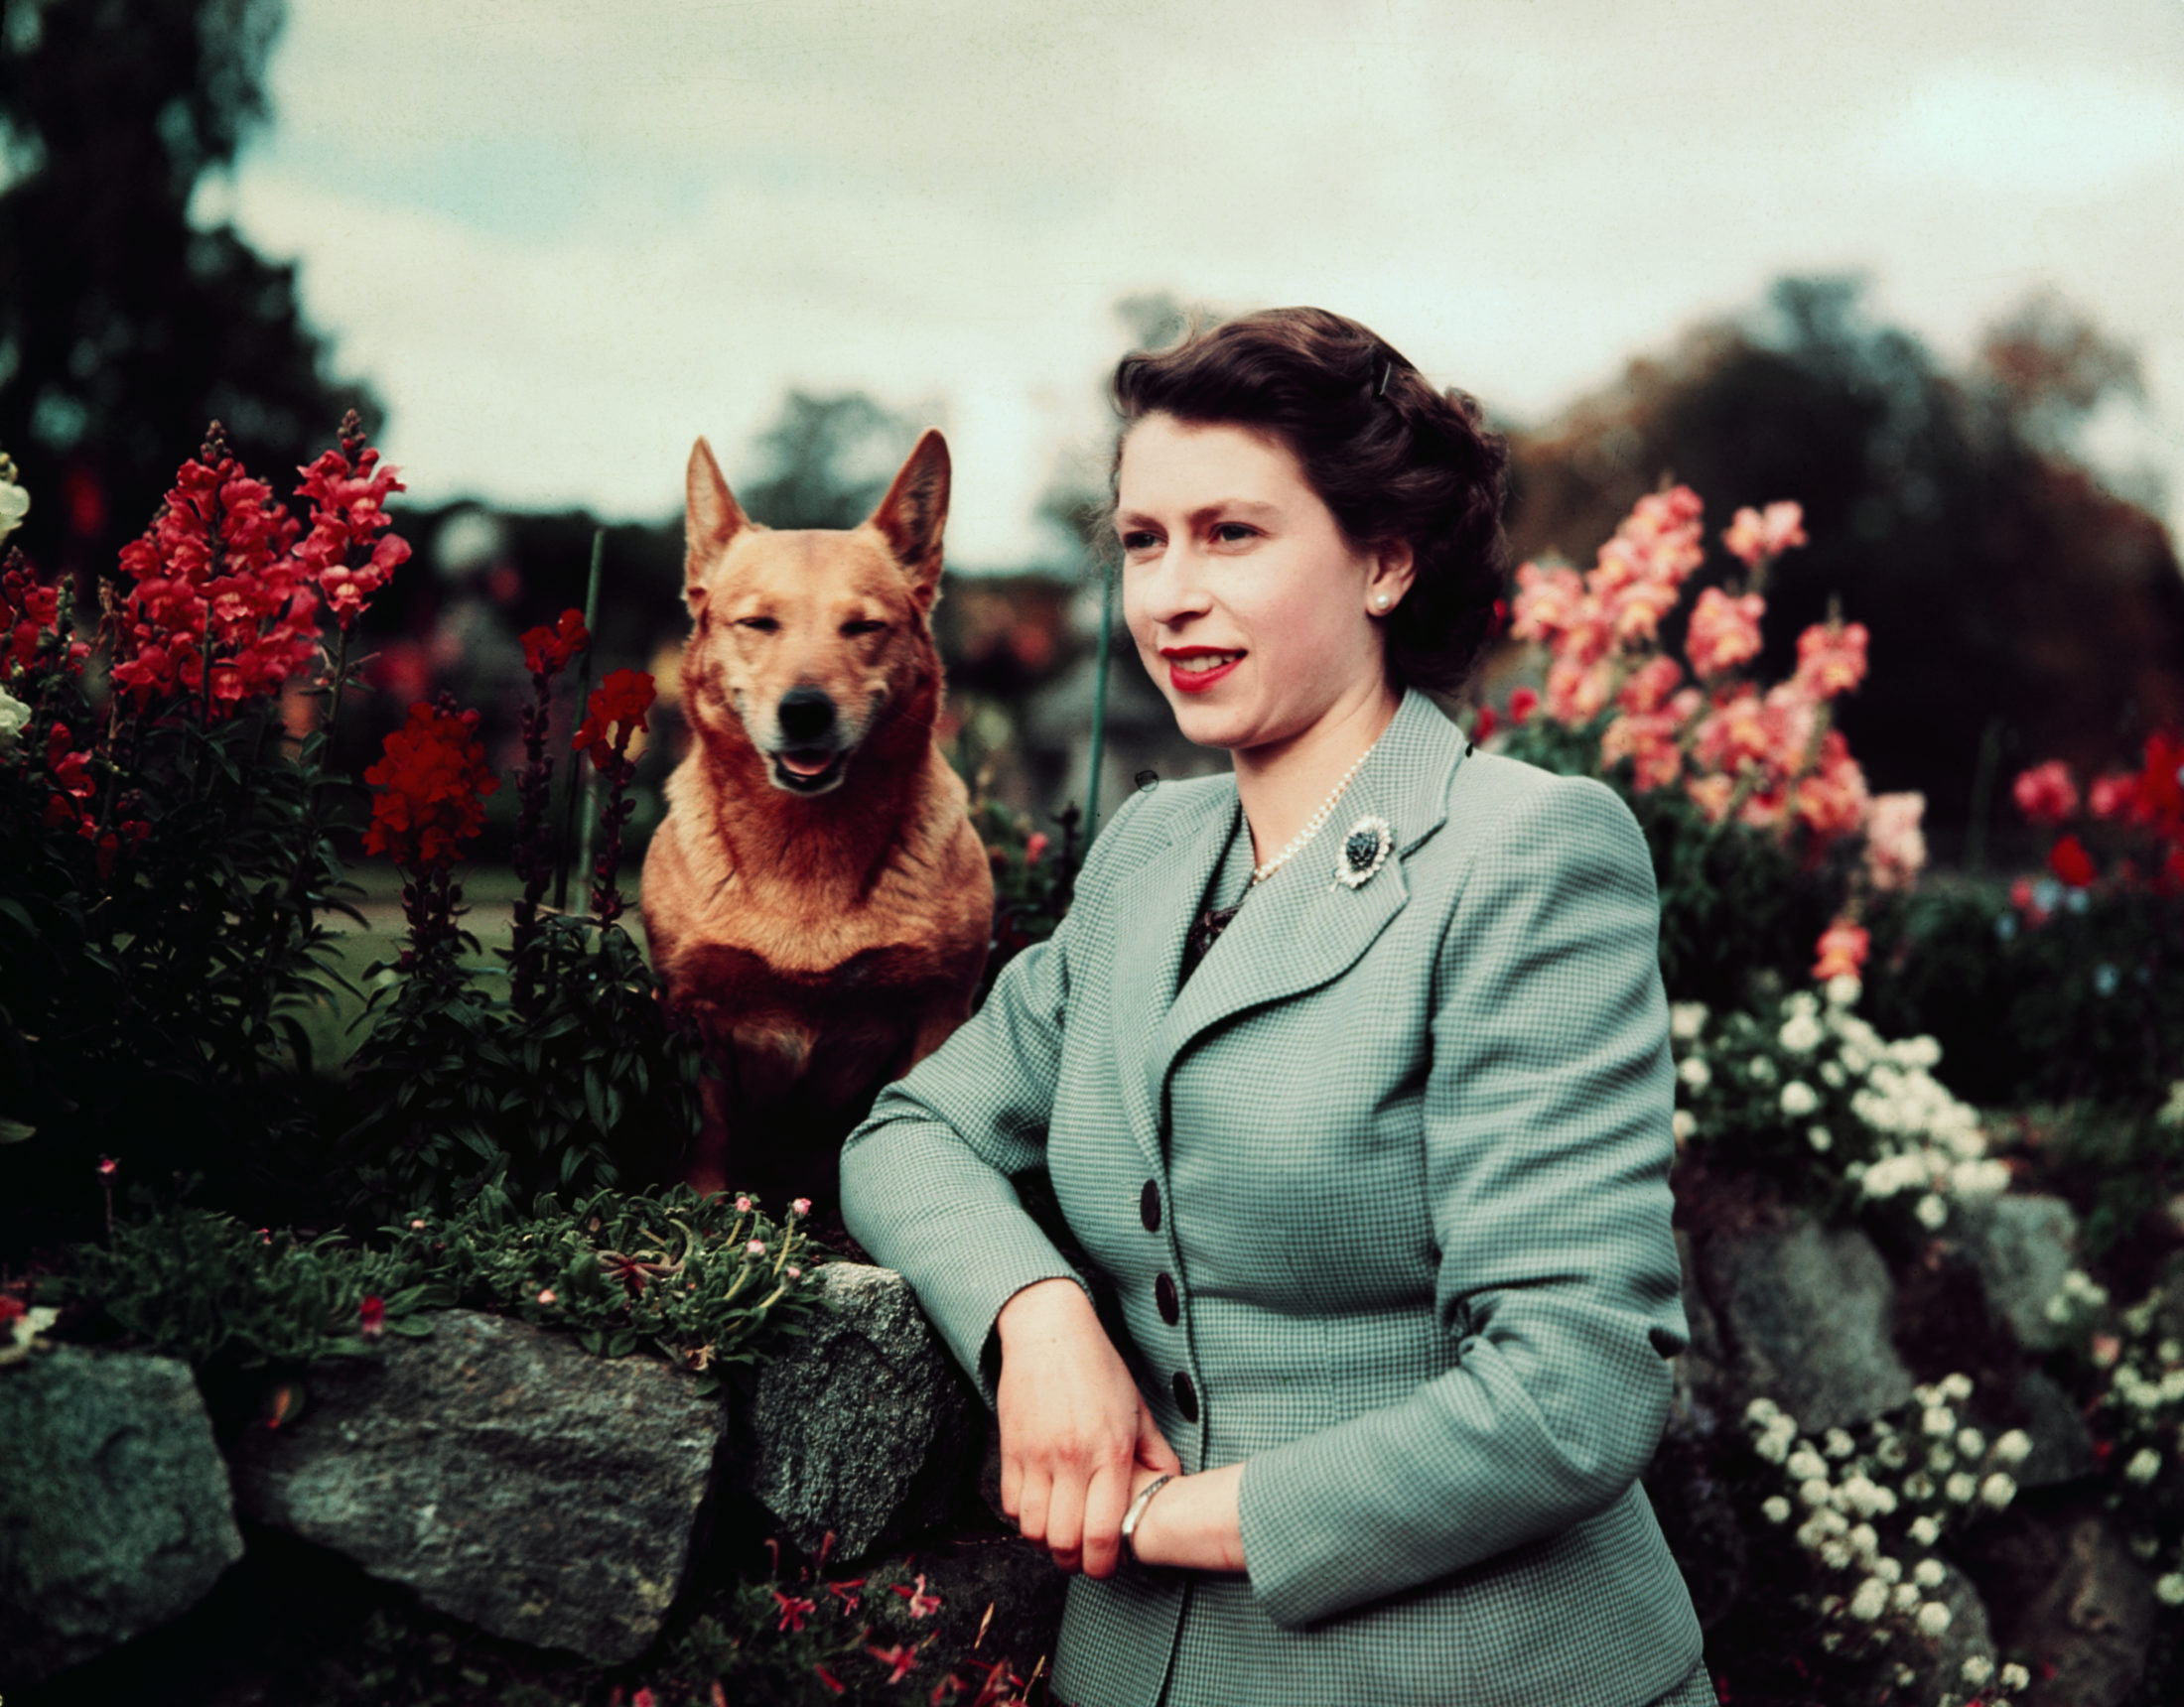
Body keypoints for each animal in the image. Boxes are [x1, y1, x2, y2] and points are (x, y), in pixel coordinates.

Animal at [641, 428, 996, 1213]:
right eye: (757, 623)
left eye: (863, 627)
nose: (805, 710)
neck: (806, 849)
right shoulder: (694, 1012)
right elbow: (706, 1137)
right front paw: (703, 1218)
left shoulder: (938, 1012)